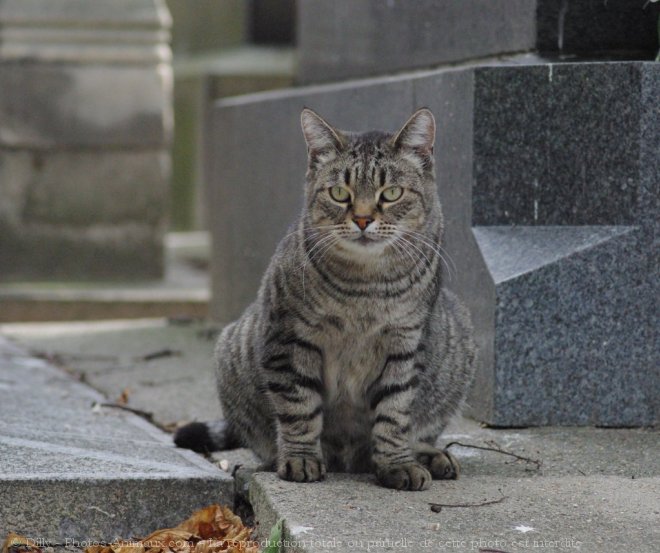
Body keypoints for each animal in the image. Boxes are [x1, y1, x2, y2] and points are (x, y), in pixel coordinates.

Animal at [175, 108, 474, 492]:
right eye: (339, 193)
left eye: (391, 193)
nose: (362, 219)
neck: (366, 286)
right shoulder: (289, 339)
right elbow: (299, 407)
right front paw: (301, 459)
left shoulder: (405, 344)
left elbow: (394, 412)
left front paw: (397, 464)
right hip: (231, 349)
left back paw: (429, 456)